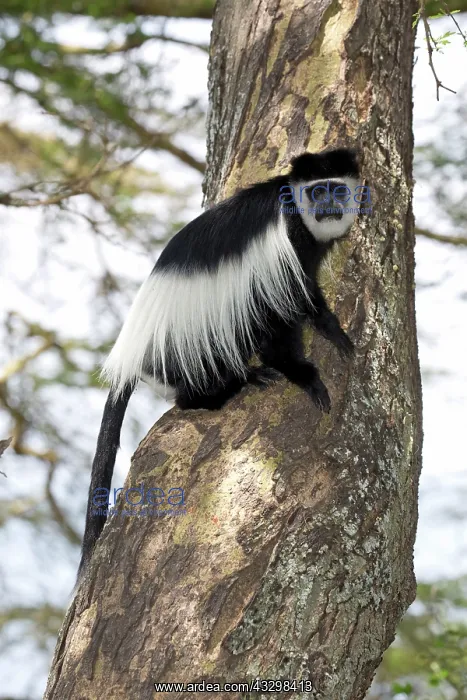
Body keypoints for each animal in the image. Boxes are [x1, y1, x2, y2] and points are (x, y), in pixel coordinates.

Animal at [77, 147, 360, 580]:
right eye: (318, 190)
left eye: (338, 188)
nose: (329, 205)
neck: (296, 211)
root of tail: (133, 349)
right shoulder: (285, 248)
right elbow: (292, 303)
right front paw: (314, 359)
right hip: (190, 337)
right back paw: (234, 384)